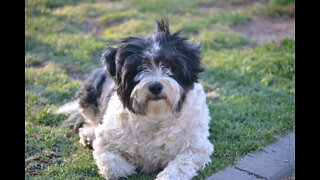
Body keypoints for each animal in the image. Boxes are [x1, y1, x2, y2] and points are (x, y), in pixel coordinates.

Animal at [58, 18, 214, 180]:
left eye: (168, 66)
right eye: (139, 68)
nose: (155, 87)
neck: (155, 116)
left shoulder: (197, 147)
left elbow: (180, 166)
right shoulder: (105, 141)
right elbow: (114, 166)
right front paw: (130, 165)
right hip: (88, 94)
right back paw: (89, 135)